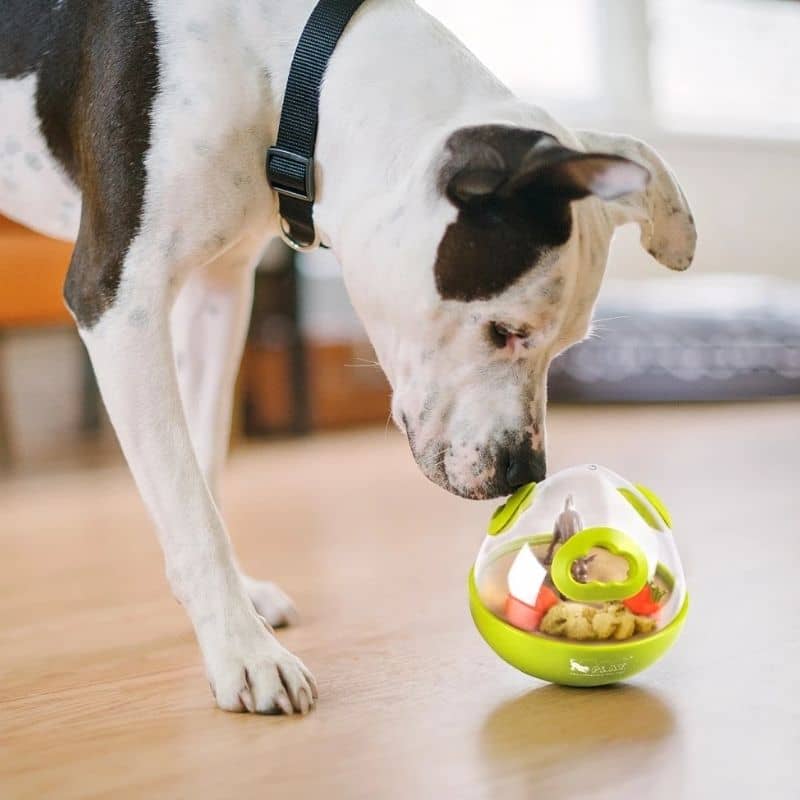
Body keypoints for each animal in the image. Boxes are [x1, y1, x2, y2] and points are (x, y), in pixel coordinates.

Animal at [0, 0, 692, 712]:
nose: (522, 472)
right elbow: (189, 504)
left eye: (567, 346)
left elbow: (202, 469)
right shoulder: (120, 301)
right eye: (506, 329)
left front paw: (233, 608)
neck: (285, 67)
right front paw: (243, 651)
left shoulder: (218, 293)